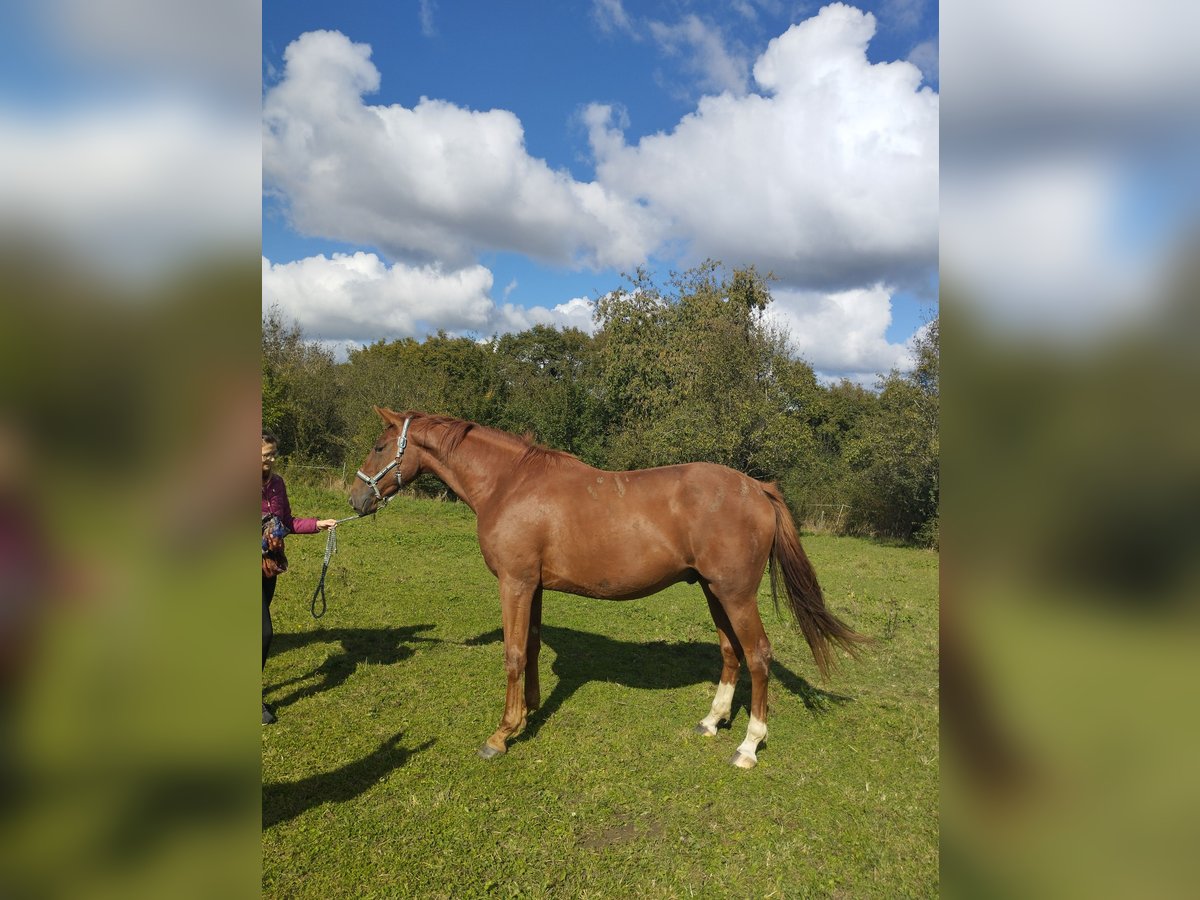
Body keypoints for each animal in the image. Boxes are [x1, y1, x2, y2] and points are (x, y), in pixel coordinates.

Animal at [350, 408, 868, 768]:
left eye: (378, 446)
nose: (355, 500)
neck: (509, 484)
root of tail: (757, 487)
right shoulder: (534, 586)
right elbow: (531, 646)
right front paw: (529, 712)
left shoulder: (515, 584)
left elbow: (513, 654)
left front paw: (501, 734)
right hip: (713, 591)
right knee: (730, 652)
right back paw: (712, 721)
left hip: (736, 594)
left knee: (758, 655)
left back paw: (748, 746)